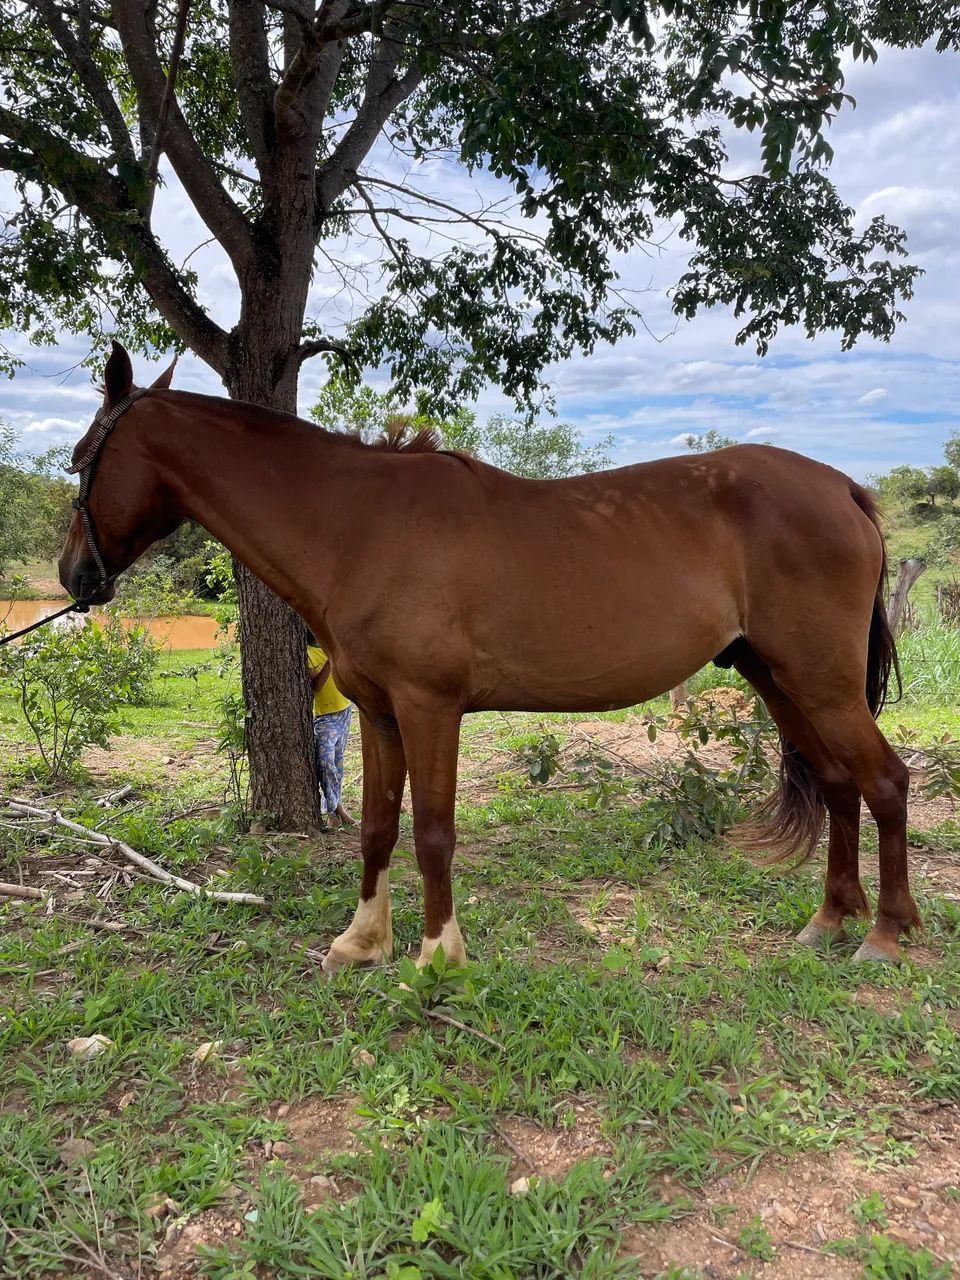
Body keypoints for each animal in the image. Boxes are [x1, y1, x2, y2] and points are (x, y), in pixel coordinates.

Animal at [58, 343, 920, 970]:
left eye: (79, 457)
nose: (74, 576)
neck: (358, 526)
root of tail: (843, 488)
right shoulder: (379, 713)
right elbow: (378, 828)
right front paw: (361, 943)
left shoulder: (430, 708)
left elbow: (434, 833)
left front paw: (438, 956)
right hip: (779, 681)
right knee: (839, 783)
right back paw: (828, 921)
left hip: (820, 683)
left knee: (884, 780)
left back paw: (884, 934)